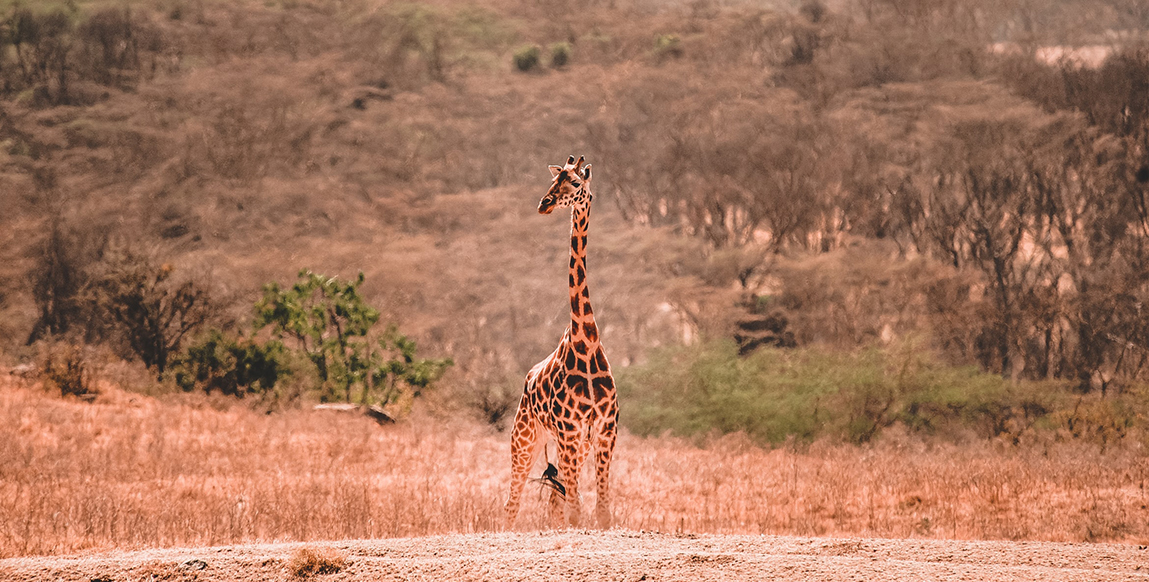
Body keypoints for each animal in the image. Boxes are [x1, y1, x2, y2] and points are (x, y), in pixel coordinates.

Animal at [505, 153, 620, 528]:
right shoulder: (569, 430)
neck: (587, 342)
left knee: (557, 500)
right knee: (512, 503)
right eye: (554, 180)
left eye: (575, 182)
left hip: (572, 445)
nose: (544, 203)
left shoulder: (604, 431)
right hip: (525, 438)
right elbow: (577, 511)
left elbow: (601, 511)